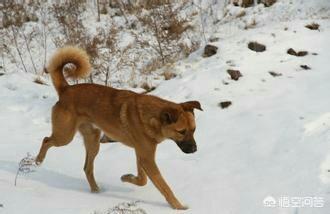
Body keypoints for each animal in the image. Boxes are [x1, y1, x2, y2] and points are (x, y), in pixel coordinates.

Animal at [35, 46, 201, 209]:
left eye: (194, 130)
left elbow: (142, 179)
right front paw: (178, 206)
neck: (152, 118)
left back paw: (96, 191)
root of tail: (66, 90)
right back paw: (39, 159)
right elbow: (163, 186)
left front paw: (127, 177)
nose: (194, 150)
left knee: (87, 168)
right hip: (65, 136)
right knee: (46, 140)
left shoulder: (141, 154)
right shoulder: (146, 157)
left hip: (93, 141)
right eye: (181, 132)